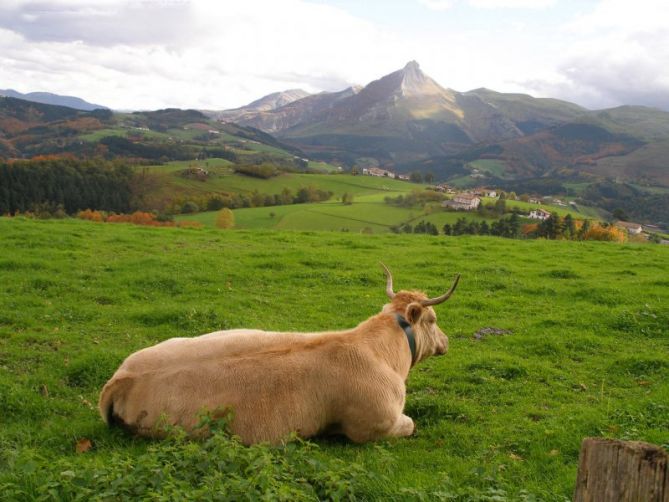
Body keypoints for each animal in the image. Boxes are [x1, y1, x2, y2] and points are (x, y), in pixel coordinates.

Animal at [99, 264, 460, 446]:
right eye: (433, 320)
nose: (446, 341)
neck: (379, 350)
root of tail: (120, 379)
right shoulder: (376, 424)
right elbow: (410, 424)